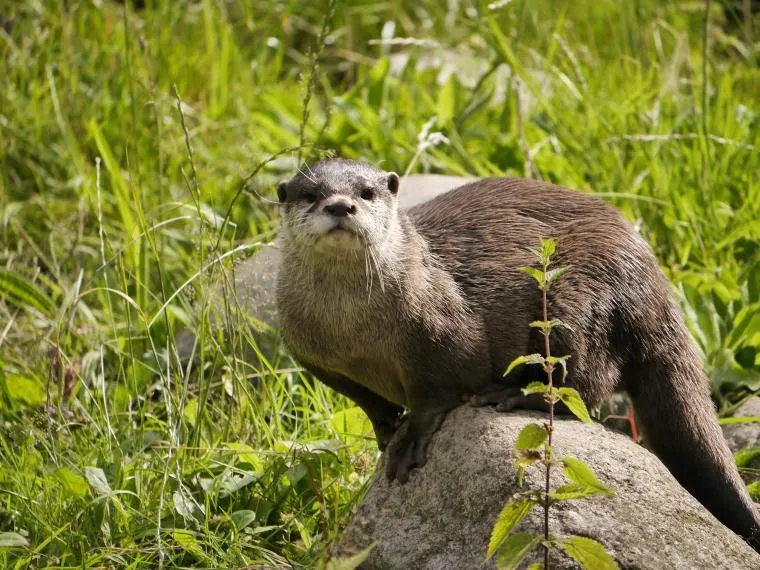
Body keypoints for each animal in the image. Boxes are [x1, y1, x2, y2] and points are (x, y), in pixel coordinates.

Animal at [275, 158, 760, 551]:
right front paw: (385, 427)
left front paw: (410, 437)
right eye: (311, 194)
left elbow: (437, 390)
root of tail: (654, 281)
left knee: (588, 380)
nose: (340, 207)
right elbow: (364, 399)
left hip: (579, 295)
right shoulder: (310, 355)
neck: (355, 335)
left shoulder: (447, 333)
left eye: (367, 192)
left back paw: (513, 394)